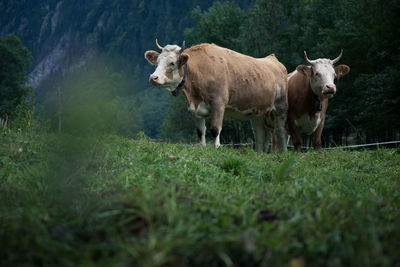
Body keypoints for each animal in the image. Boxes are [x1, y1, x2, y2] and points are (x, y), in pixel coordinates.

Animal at [145, 39, 290, 153]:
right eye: (157, 62)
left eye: (172, 63)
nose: (153, 77)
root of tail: (272, 59)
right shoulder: (197, 109)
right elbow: (200, 132)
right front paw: (202, 147)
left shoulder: (218, 103)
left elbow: (215, 129)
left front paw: (217, 148)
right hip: (257, 113)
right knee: (260, 135)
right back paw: (259, 154)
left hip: (281, 107)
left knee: (282, 132)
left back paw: (284, 154)